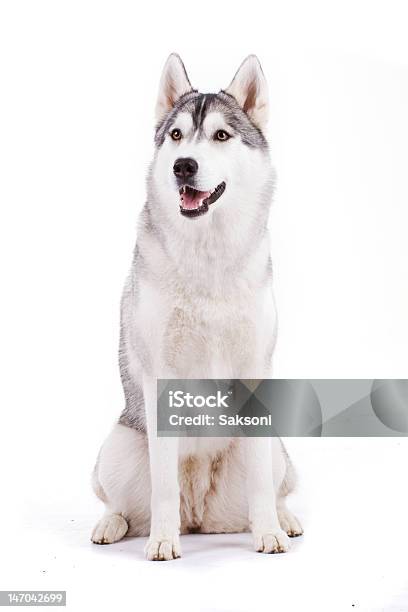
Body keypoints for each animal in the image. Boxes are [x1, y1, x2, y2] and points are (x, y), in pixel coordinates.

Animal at [92, 55, 302, 560]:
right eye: (176, 135)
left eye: (221, 136)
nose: (183, 165)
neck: (208, 255)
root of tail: (201, 514)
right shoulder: (160, 376)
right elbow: (163, 485)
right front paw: (162, 540)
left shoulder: (255, 370)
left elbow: (263, 485)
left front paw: (269, 532)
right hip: (118, 445)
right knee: (123, 503)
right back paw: (114, 524)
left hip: (275, 446)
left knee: (277, 485)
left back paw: (283, 519)